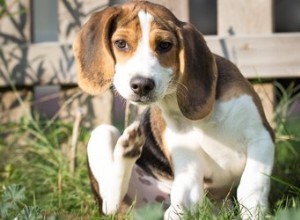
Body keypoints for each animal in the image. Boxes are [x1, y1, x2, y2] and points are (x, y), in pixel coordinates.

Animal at [72, 0, 274, 219]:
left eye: (164, 45)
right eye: (120, 44)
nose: (141, 85)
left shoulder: (261, 138)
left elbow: (250, 187)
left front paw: (254, 213)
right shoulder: (188, 165)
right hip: (103, 134)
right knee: (110, 202)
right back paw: (127, 148)